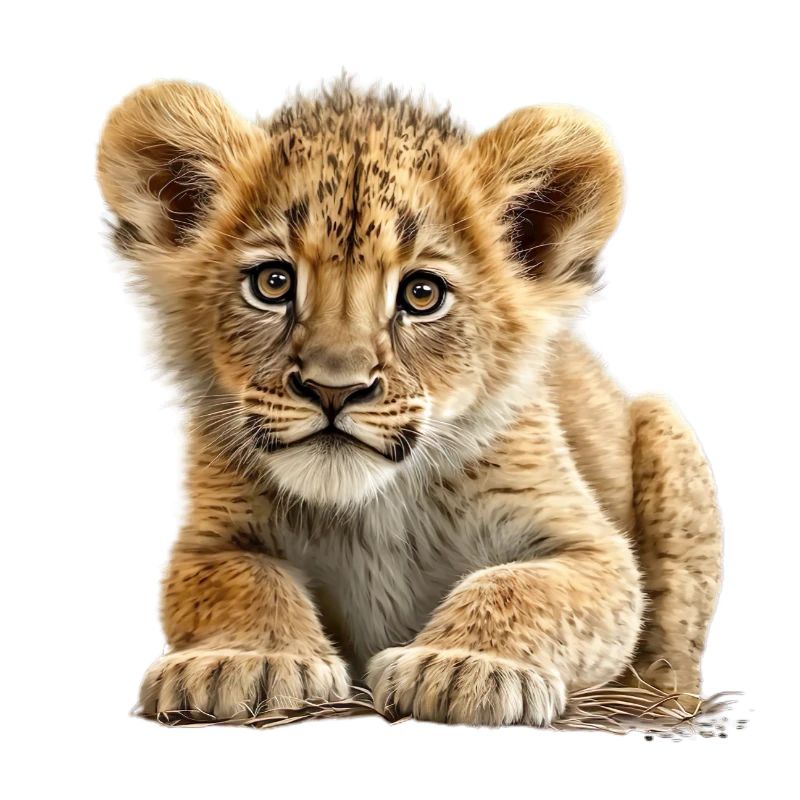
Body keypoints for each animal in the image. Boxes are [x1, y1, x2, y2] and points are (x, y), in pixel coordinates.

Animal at [97, 78, 721, 726]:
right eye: (273, 283)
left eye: (422, 294)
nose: (334, 388)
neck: (373, 507)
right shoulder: (211, 536)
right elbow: (239, 580)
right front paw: (243, 661)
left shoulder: (589, 547)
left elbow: (523, 587)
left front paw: (465, 667)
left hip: (664, 429)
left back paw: (653, 701)